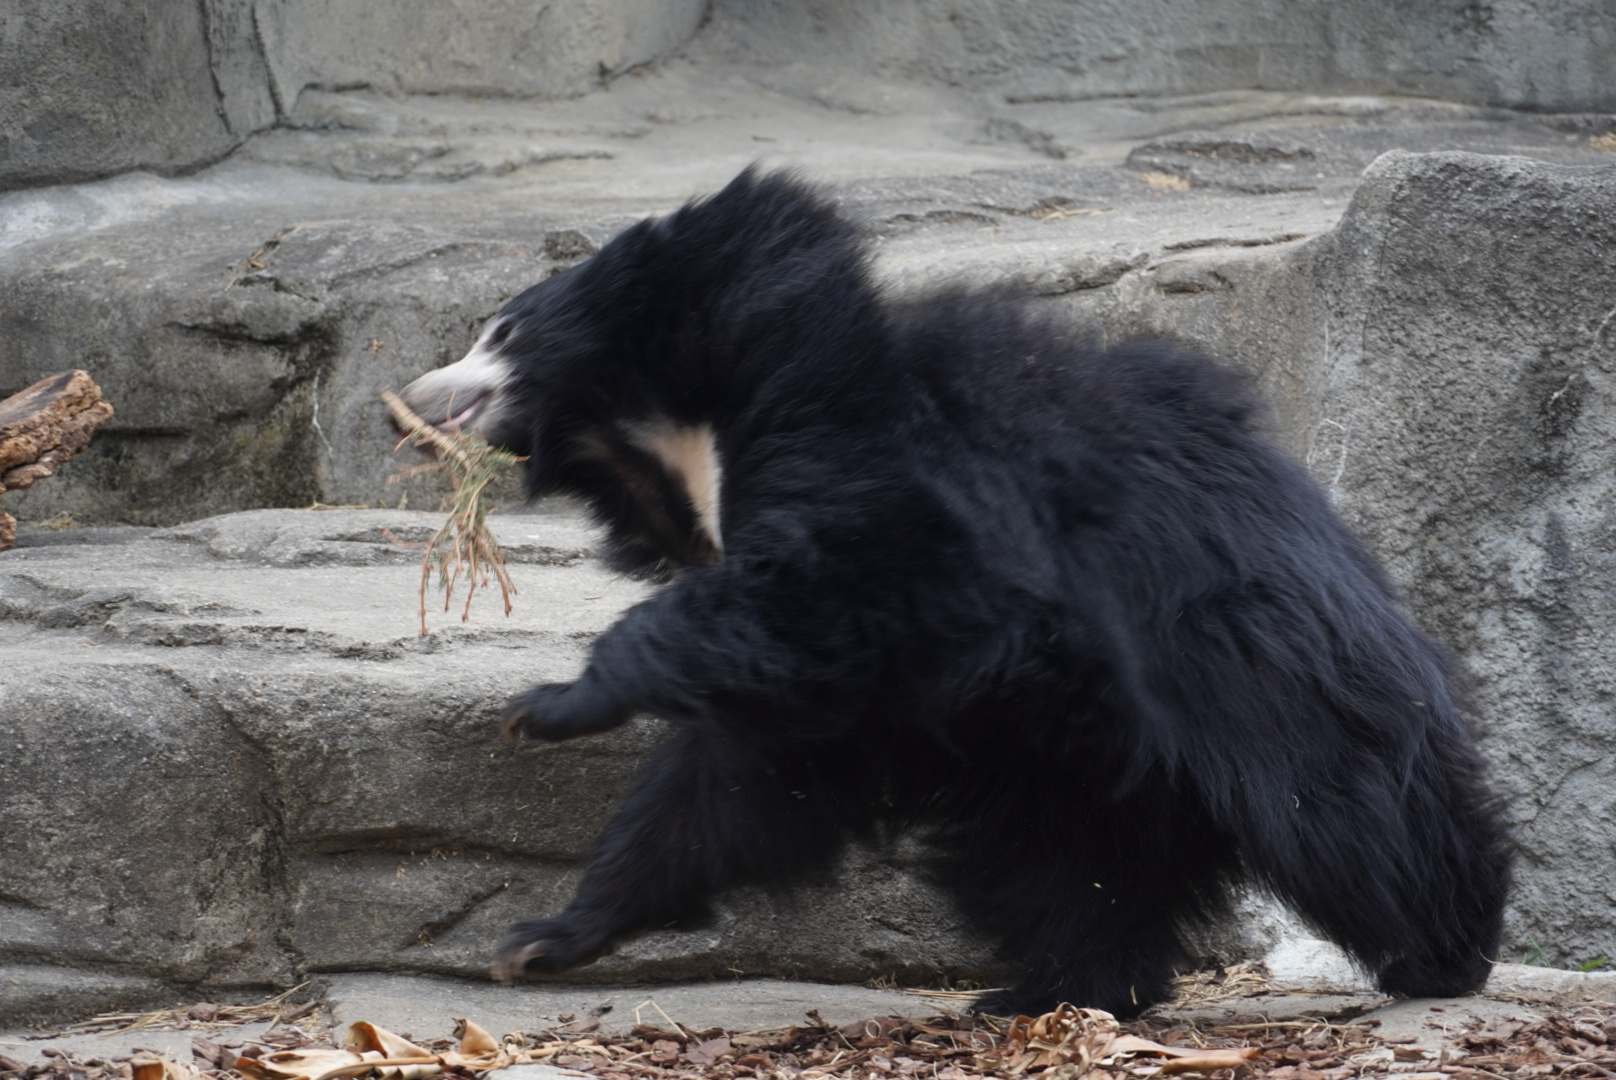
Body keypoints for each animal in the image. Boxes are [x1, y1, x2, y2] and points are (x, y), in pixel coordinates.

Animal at [395, 168, 1511, 1018]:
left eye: (500, 334)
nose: (410, 401)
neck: (687, 429)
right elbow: (739, 778)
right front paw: (543, 938)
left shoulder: (897, 485)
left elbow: (845, 593)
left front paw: (547, 707)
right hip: (1072, 755)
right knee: (1073, 864)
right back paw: (1055, 991)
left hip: (1249, 665)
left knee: (1348, 814)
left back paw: (1442, 952)